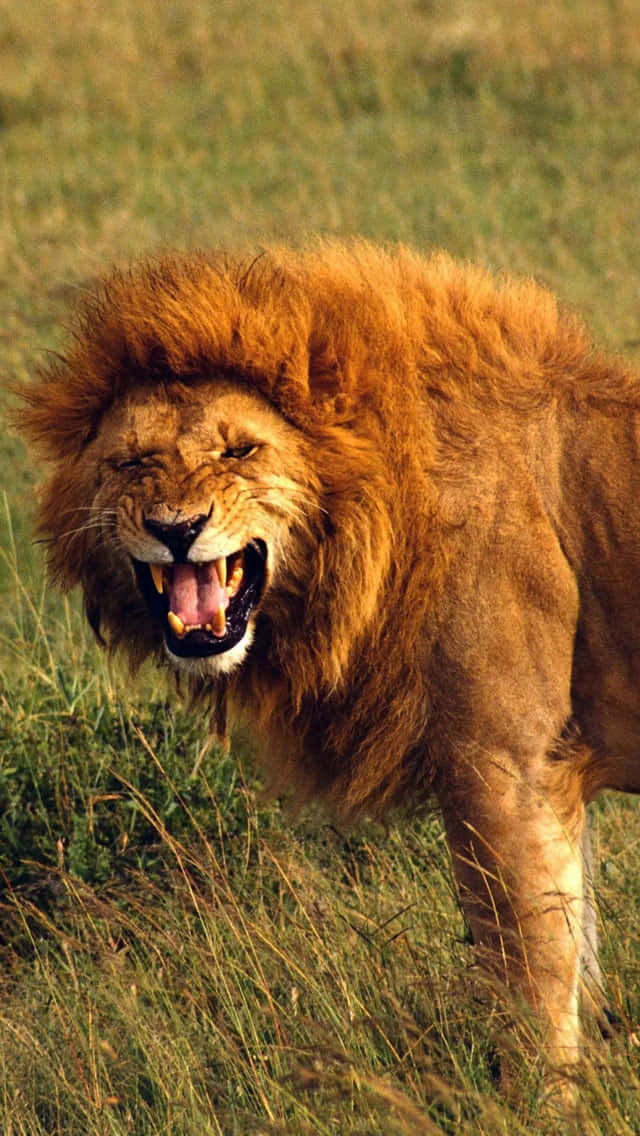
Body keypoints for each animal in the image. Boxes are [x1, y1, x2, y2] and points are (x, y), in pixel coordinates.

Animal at [21, 241, 640, 1098]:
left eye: (238, 450)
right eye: (135, 461)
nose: (177, 528)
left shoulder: (507, 766)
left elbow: (534, 974)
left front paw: (540, 1104)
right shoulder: (546, 773)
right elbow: (575, 958)